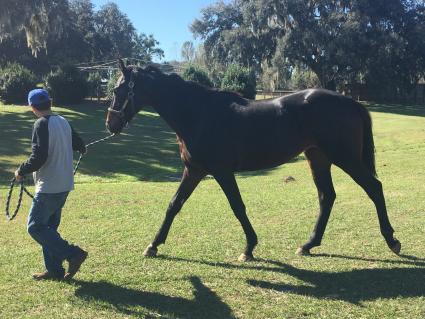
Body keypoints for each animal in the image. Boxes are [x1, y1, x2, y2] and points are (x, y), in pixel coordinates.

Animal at [104, 60, 400, 262]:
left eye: (119, 89)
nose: (110, 124)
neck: (199, 113)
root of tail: (351, 102)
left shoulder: (221, 171)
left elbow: (237, 207)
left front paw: (249, 248)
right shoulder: (194, 170)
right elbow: (174, 205)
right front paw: (153, 245)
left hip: (344, 157)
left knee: (374, 188)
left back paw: (392, 240)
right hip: (318, 158)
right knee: (327, 196)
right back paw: (308, 244)